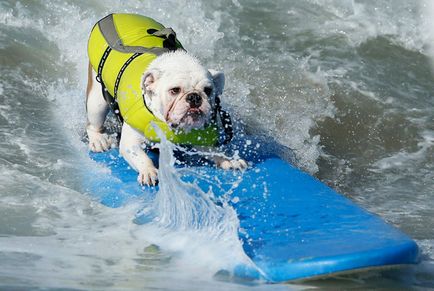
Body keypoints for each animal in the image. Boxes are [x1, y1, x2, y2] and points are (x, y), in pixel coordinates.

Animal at [86, 48, 246, 186]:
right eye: (174, 90)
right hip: (96, 103)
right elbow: (142, 157)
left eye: (208, 90)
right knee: (92, 124)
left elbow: (215, 151)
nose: (194, 97)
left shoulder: (201, 136)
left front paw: (229, 159)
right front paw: (149, 171)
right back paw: (98, 140)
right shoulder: (131, 143)